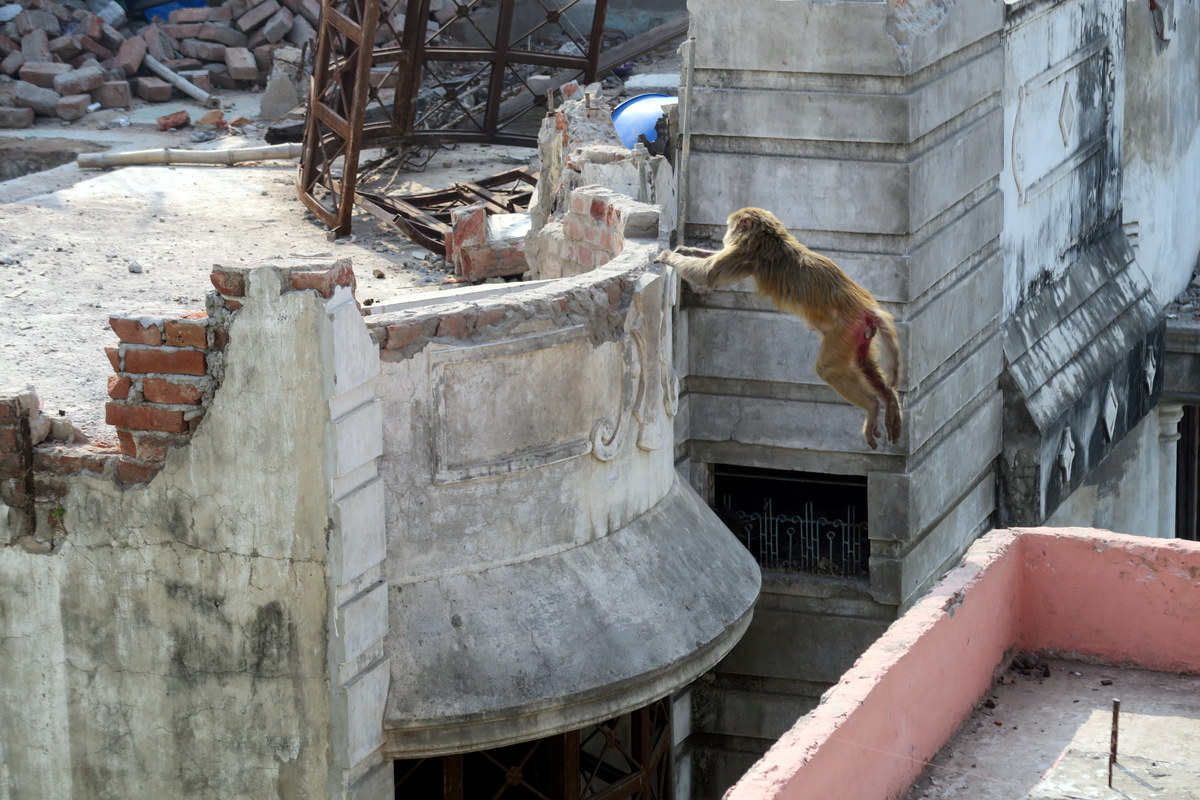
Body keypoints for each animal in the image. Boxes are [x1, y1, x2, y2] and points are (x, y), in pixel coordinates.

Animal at [657, 207, 902, 449]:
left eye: (729, 227)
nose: (725, 235)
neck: (767, 235)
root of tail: (866, 307)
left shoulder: (746, 252)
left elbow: (708, 275)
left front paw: (670, 256)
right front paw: (686, 250)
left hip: (845, 329)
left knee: (828, 369)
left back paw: (872, 405)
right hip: (860, 333)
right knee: (863, 362)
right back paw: (888, 398)